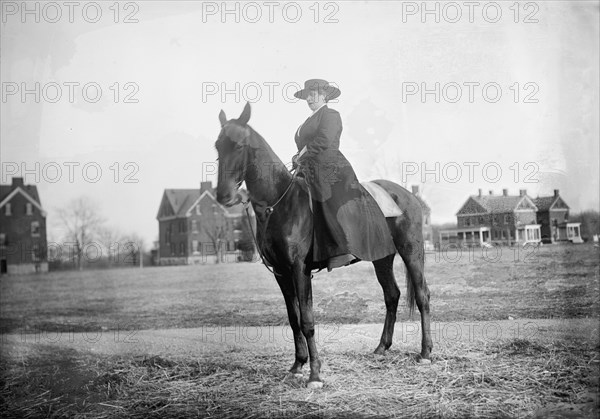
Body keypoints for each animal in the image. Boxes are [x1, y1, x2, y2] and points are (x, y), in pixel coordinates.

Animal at [216, 103, 432, 388]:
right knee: (392, 295)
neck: (281, 203)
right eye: (217, 147)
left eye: (239, 145)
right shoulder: (281, 273)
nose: (223, 196)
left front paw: (315, 374)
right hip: (382, 257)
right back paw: (381, 348)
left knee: (421, 295)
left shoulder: (299, 270)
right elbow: (293, 319)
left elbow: (307, 320)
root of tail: (408, 195)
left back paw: (426, 353)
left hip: (411, 252)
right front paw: (297, 365)